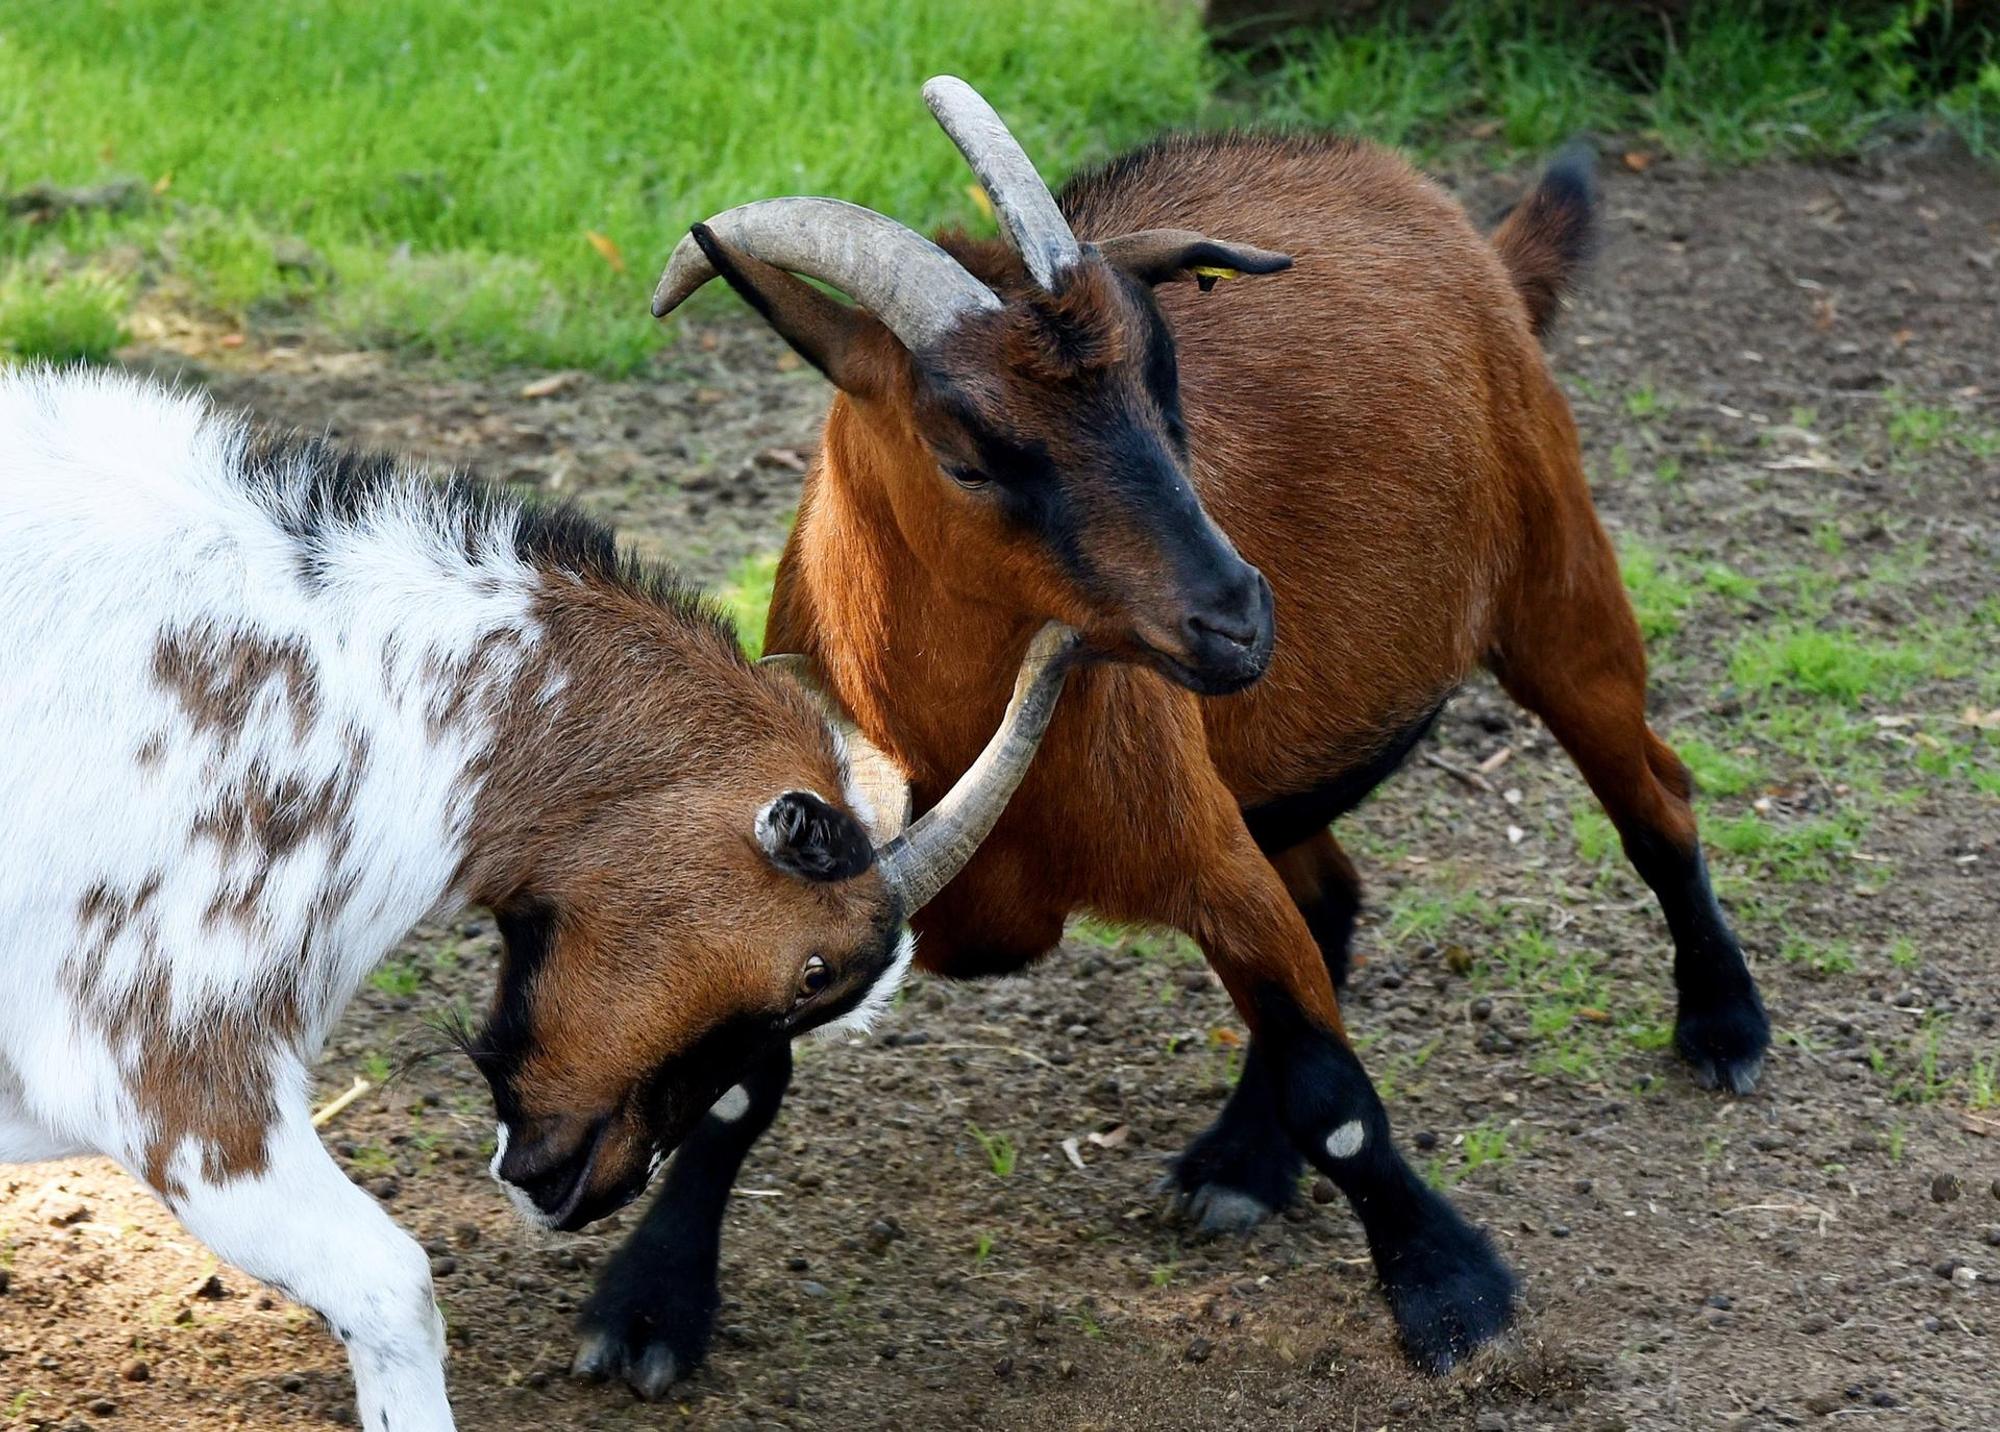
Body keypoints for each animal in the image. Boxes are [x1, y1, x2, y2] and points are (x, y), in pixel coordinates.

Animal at [576, 76, 1773, 1393]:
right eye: (963, 453)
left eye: (1166, 389)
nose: (1239, 616)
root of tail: (1434, 208)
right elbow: (735, 1086)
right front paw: (649, 1305)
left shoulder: (1197, 849)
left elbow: (1331, 1088)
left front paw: (1453, 1294)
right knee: (1333, 893)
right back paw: (1239, 1163)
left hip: (1557, 584)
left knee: (1652, 797)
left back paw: (1722, 1023)